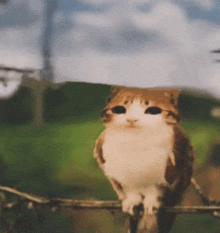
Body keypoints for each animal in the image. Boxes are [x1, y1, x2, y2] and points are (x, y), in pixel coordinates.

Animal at [93, 86, 193, 233]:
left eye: (153, 111)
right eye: (120, 109)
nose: (132, 119)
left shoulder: (169, 171)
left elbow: (155, 189)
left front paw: (152, 202)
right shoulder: (116, 173)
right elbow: (130, 190)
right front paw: (131, 202)